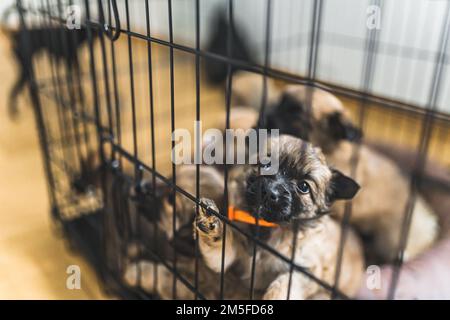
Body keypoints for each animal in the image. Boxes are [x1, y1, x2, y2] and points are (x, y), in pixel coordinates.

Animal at [195, 135, 364, 300]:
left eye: (304, 187)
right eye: (266, 165)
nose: (270, 192)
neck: (268, 228)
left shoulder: (306, 272)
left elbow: (281, 288)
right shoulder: (230, 255)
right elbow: (221, 247)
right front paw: (211, 225)